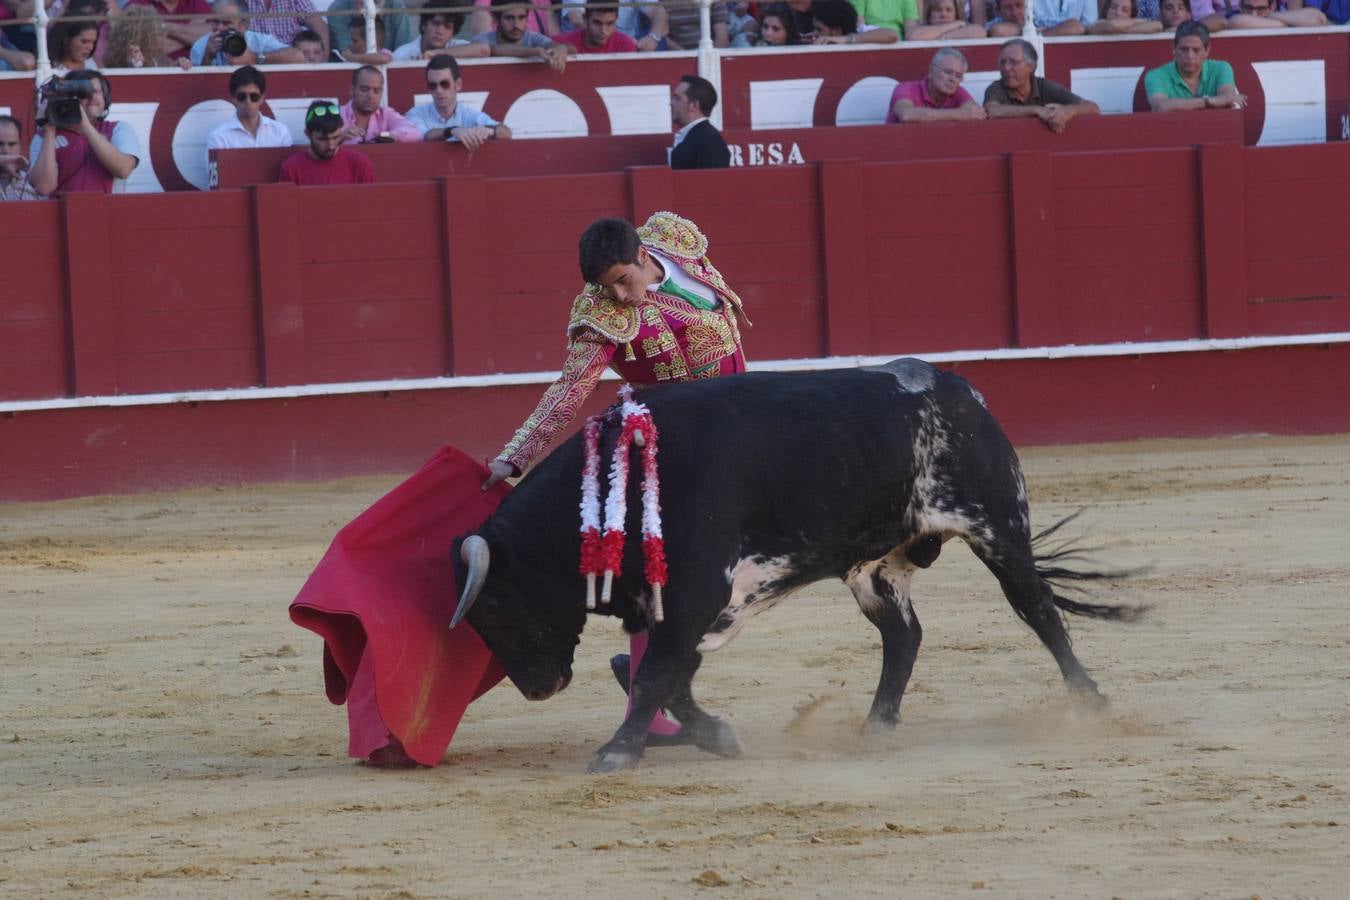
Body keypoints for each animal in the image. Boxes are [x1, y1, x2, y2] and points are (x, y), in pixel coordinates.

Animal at [450, 358, 1139, 777]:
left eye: (494, 606)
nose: (539, 688)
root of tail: (959, 388)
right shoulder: (687, 605)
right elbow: (657, 673)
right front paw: (713, 736)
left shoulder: (697, 594)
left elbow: (653, 676)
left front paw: (618, 753)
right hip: (876, 565)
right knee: (904, 636)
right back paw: (876, 725)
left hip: (998, 526)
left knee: (1038, 609)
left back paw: (1091, 704)